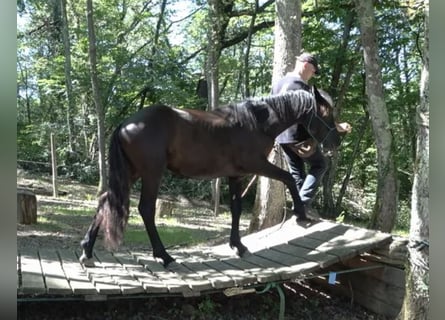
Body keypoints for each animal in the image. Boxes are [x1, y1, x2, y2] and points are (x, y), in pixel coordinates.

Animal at [79, 86, 340, 266]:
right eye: (326, 114)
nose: (336, 142)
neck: (255, 123)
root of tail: (127, 124)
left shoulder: (236, 175)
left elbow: (236, 209)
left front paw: (238, 245)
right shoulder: (257, 165)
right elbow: (288, 178)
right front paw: (301, 214)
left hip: (132, 172)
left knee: (105, 201)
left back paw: (87, 250)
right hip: (151, 174)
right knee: (146, 209)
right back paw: (164, 256)